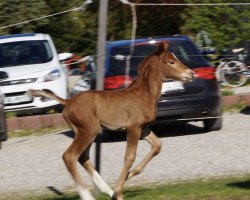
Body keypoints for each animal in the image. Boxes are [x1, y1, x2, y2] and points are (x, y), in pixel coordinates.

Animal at [27, 41, 195, 200]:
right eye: (171, 62)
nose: (191, 73)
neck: (145, 94)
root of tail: (68, 102)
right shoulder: (133, 127)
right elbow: (129, 157)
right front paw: (119, 191)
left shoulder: (144, 128)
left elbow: (157, 146)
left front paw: (129, 176)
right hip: (88, 130)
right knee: (69, 157)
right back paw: (90, 195)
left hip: (84, 132)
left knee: (83, 157)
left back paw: (107, 191)